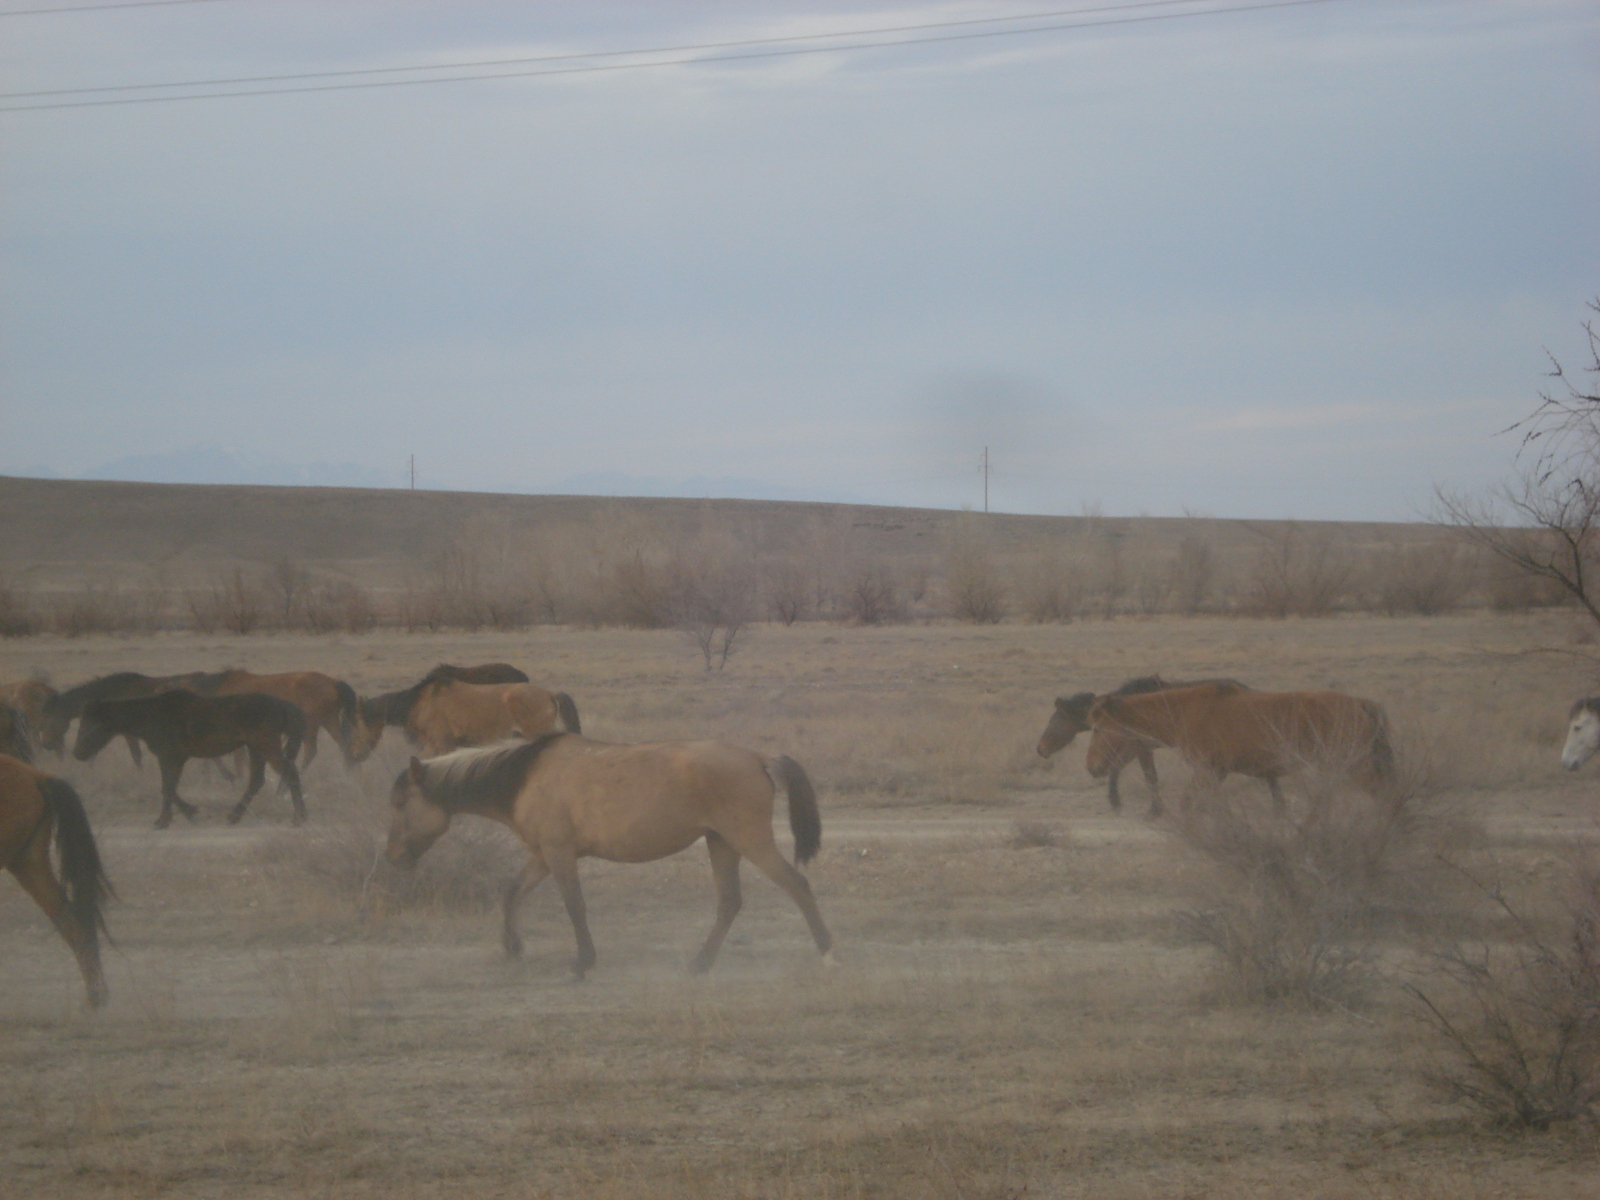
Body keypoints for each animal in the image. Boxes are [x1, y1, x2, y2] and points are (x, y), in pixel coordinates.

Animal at [72, 691, 308, 832]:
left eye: (90, 723)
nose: (77, 753)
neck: (151, 715)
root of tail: (283, 705)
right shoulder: (177, 758)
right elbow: (170, 787)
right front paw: (176, 816)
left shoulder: (168, 756)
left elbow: (167, 788)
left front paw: (174, 817)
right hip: (255, 748)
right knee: (256, 780)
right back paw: (234, 816)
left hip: (265, 745)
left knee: (289, 772)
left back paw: (299, 818)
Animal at [388, 739, 838, 979]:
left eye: (401, 803)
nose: (393, 856)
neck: (526, 777)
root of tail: (758, 758)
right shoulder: (542, 855)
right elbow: (512, 892)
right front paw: (513, 946)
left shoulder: (559, 853)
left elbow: (574, 906)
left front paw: (582, 961)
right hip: (721, 843)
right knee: (730, 902)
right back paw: (699, 963)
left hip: (748, 840)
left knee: (797, 885)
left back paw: (827, 950)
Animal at [1081, 684, 1395, 819]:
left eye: (1097, 729)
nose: (1091, 767)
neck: (1185, 711)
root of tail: (1361, 703)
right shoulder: (1215, 774)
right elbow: (1212, 807)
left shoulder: (1206, 771)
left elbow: (1188, 804)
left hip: (1355, 766)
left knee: (1385, 794)